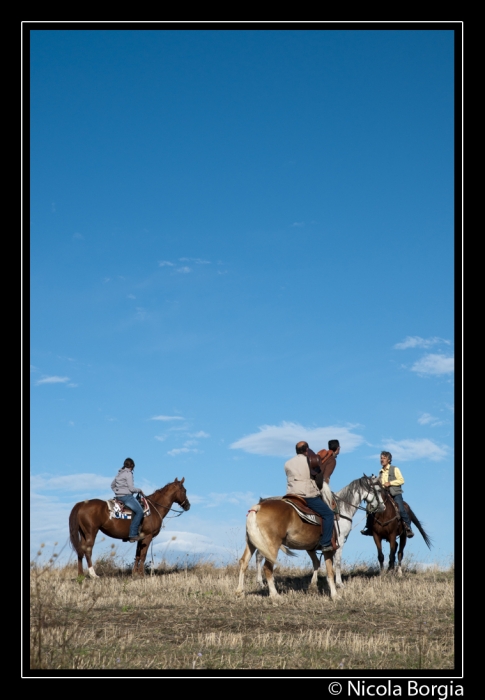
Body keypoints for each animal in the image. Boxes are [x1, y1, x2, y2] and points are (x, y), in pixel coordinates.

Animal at [251, 476, 384, 592]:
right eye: (378, 490)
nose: (383, 507)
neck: (342, 510)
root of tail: (260, 504)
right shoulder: (340, 542)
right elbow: (337, 563)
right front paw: (339, 583)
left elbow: (320, 563)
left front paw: (316, 582)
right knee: (260, 557)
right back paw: (261, 582)